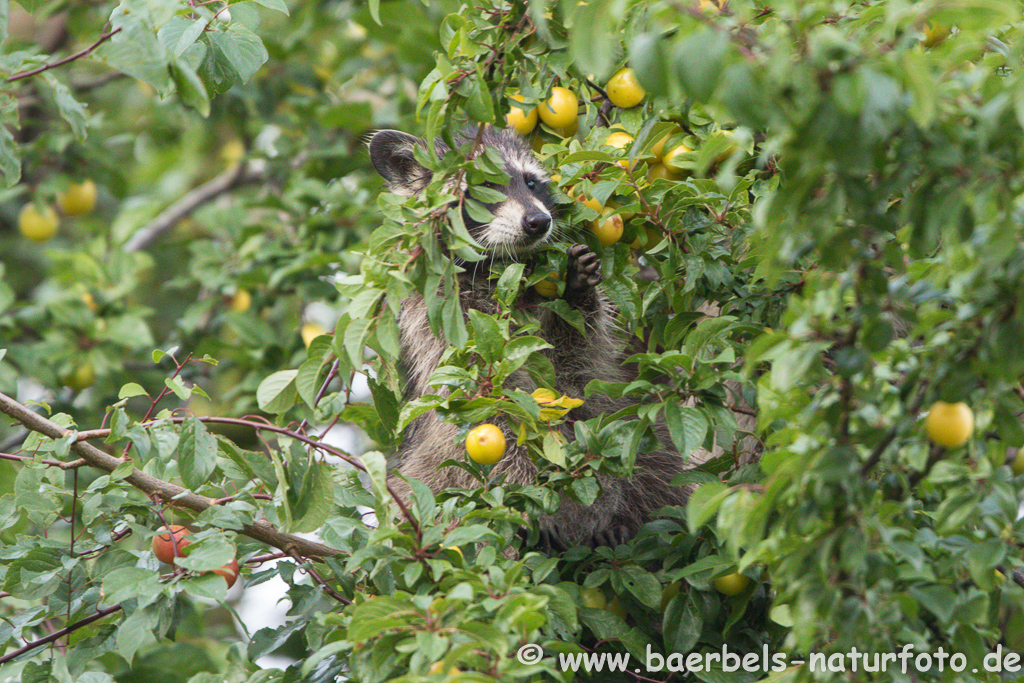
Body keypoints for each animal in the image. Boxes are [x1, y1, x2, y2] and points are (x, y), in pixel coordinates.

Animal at [372, 126, 700, 548]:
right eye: (483, 186)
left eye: (531, 182)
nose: (538, 221)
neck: (499, 268)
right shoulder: (443, 327)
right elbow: (493, 411)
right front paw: (540, 502)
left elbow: (579, 364)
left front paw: (575, 292)